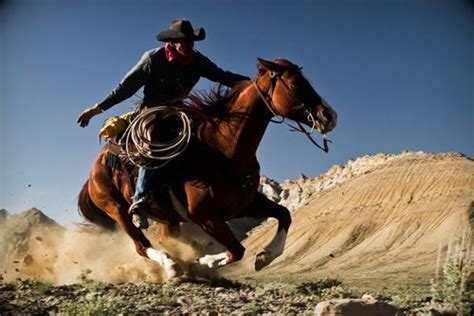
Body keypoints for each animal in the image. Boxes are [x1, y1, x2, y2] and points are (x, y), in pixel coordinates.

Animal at [78, 58, 336, 278]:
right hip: (116, 209)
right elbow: (237, 250)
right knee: (141, 245)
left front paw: (264, 256)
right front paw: (203, 263)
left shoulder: (244, 205)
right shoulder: (204, 216)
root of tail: (93, 172)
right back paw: (171, 266)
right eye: (296, 83)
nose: (329, 115)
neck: (222, 149)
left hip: (167, 219)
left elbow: (284, 214)